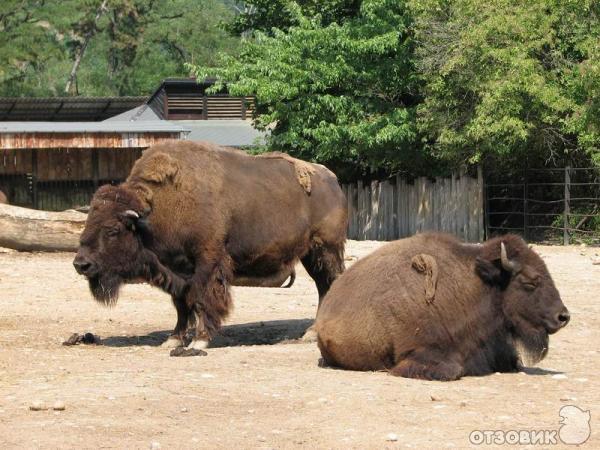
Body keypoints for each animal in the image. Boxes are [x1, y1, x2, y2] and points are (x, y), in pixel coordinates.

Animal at [74, 141, 346, 348]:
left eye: (113, 229)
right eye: (88, 224)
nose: (81, 264)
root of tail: (332, 180)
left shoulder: (207, 262)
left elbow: (202, 298)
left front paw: (200, 340)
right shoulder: (176, 270)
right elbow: (181, 306)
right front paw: (173, 339)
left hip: (326, 250)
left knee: (330, 285)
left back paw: (313, 332)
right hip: (311, 255)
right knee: (323, 287)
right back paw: (311, 332)